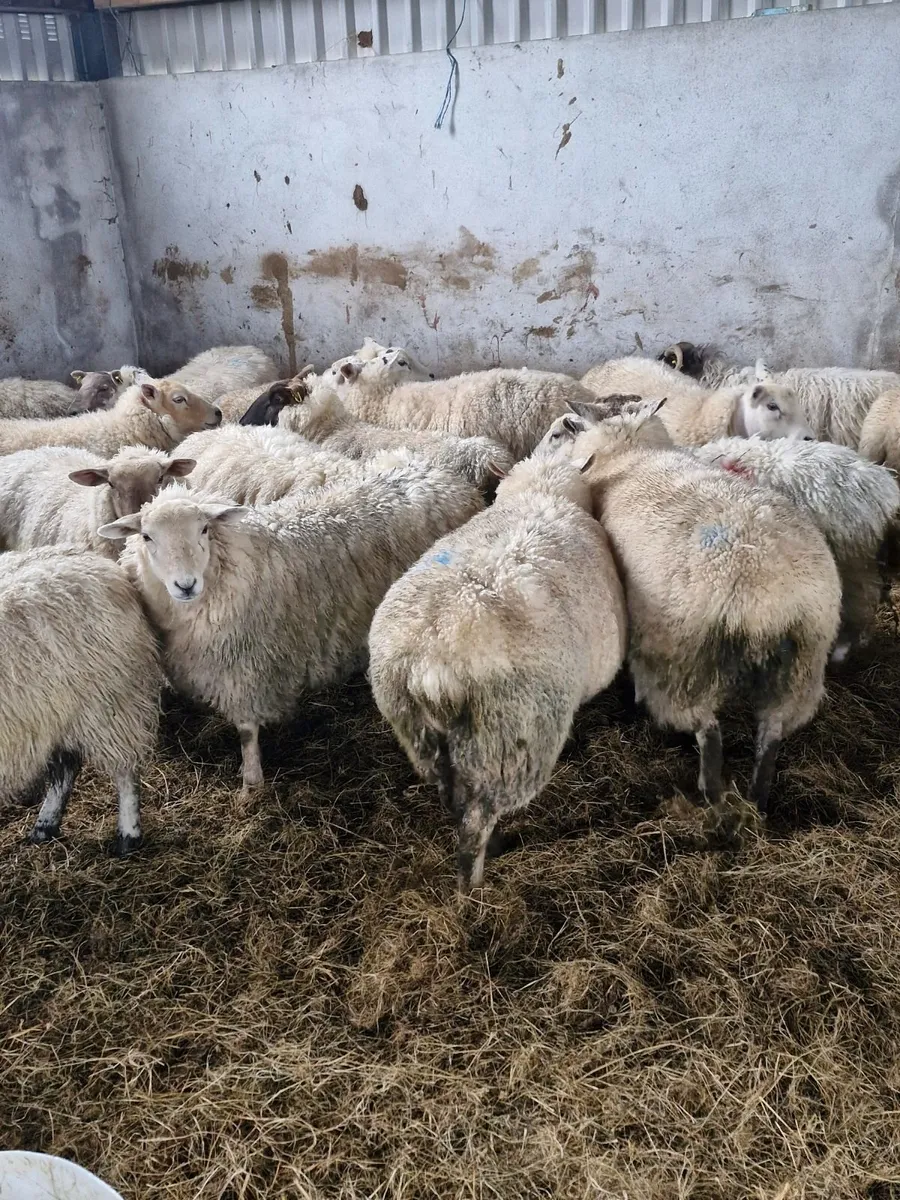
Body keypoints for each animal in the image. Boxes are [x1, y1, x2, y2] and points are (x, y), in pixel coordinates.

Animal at [0, 546, 161, 853]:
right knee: (66, 767)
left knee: (125, 769)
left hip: (107, 703)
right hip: (56, 711)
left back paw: (128, 836)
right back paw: (45, 827)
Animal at [99, 465, 484, 791]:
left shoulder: (246, 668)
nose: (185, 584)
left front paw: (251, 784)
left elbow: (247, 731)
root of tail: (437, 474)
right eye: (146, 537)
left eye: (204, 529)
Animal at [368, 454, 627, 891]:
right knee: (477, 818)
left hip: (422, 737)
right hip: (510, 739)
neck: (541, 493)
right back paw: (473, 884)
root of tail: (429, 666)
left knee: (453, 799)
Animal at [546, 406, 840, 812]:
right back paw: (757, 798)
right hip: (802, 663)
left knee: (707, 731)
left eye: (562, 433)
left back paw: (711, 794)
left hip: (685, 660)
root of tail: (763, 596)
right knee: (772, 729)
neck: (633, 455)